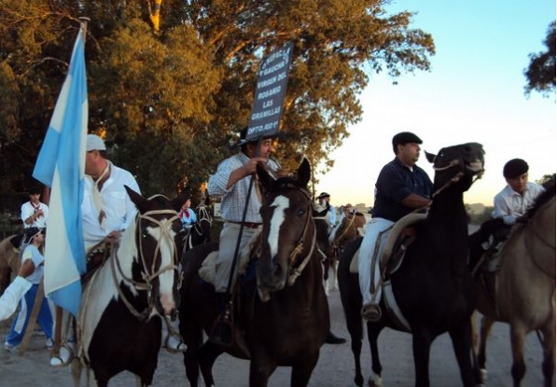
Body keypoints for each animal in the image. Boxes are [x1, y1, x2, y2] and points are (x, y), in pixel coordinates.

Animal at [180, 158, 332, 387]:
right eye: (262, 212)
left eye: (301, 211)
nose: (269, 272)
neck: (301, 305)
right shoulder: (261, 363)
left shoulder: (307, 362)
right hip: (189, 326)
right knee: (192, 365)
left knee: (205, 358)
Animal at [336, 143, 484, 387]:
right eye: (442, 153)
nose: (474, 149)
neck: (447, 266)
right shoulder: (422, 335)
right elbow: (422, 380)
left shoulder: (460, 327)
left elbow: (467, 376)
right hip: (351, 311)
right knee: (357, 343)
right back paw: (360, 378)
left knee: (373, 333)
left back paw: (376, 374)